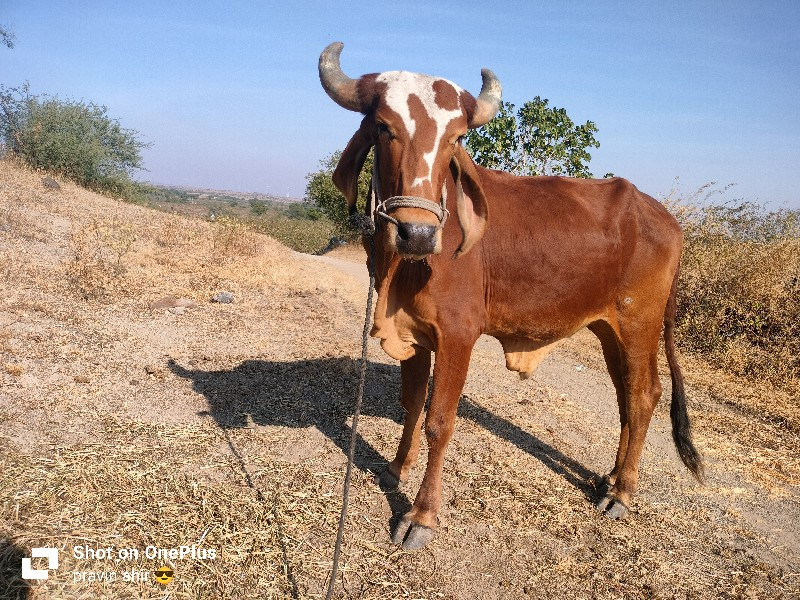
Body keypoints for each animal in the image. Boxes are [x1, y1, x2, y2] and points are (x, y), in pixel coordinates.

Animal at [320, 41, 708, 548]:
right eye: (385, 127)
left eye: (455, 140)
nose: (417, 233)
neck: (401, 268)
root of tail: (666, 218)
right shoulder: (414, 334)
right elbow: (410, 404)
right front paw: (396, 468)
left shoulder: (458, 335)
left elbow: (439, 421)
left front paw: (421, 516)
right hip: (609, 329)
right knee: (628, 396)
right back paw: (609, 478)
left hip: (639, 322)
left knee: (644, 396)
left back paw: (622, 493)